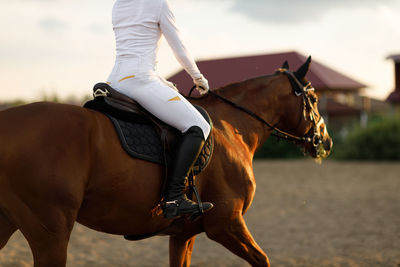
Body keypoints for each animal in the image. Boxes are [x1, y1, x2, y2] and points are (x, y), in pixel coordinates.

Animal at [0, 56, 332, 266]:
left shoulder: (183, 236)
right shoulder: (227, 223)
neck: (232, 128)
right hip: (50, 233)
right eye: (314, 99)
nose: (325, 141)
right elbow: (263, 260)